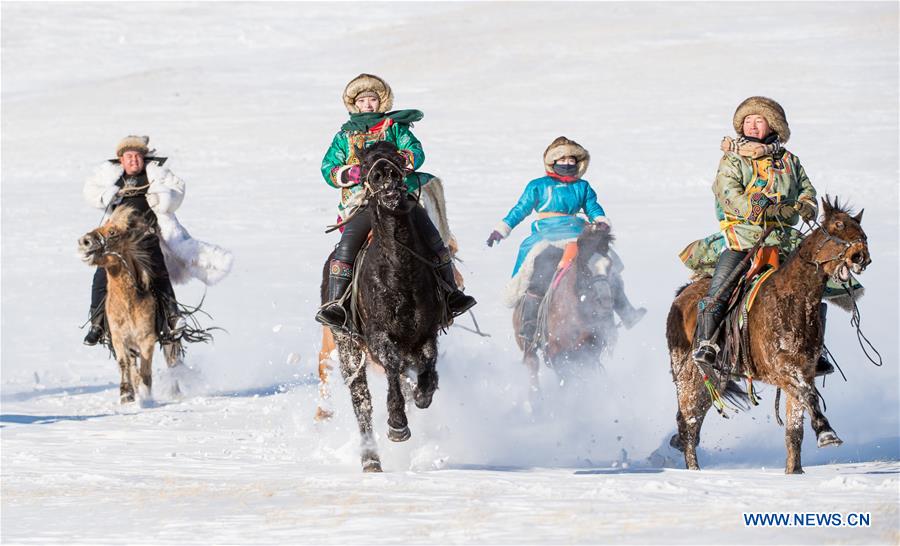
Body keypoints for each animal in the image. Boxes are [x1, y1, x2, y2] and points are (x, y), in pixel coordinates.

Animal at [78, 206, 183, 404]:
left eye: (112, 232)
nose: (84, 242)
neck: (128, 304)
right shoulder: (119, 339)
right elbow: (125, 364)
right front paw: (127, 394)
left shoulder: (147, 339)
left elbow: (146, 370)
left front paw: (146, 396)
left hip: (168, 337)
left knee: (172, 360)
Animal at [321, 141, 444, 472]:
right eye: (365, 166)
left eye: (398, 157)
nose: (385, 176)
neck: (400, 272)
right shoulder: (378, 338)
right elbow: (391, 367)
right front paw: (398, 424)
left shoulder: (425, 334)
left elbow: (427, 364)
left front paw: (424, 393)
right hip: (348, 348)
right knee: (361, 402)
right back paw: (370, 460)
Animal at [513, 223, 619, 391]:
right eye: (584, 267)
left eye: (609, 265)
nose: (605, 301)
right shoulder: (557, 354)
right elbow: (566, 379)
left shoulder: (590, 350)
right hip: (526, 344)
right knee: (533, 365)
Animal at [666, 196, 871, 473]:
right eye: (838, 225)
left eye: (860, 228)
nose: (861, 256)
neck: (793, 300)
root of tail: (682, 295)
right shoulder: (782, 370)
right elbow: (809, 396)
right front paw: (827, 433)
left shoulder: (805, 369)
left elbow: (795, 429)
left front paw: (795, 471)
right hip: (688, 375)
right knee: (688, 422)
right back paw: (694, 471)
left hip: (715, 378)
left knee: (693, 419)